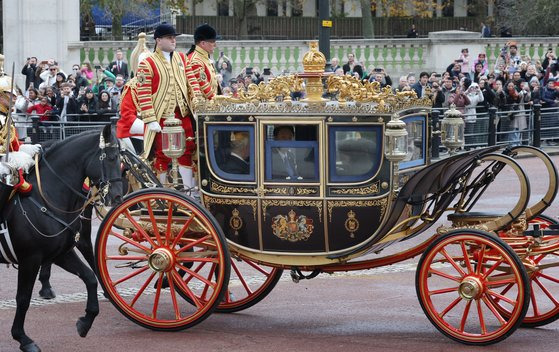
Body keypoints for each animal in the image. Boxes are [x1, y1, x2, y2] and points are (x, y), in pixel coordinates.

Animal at [1, 126, 123, 352]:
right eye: (111, 157)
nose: (118, 197)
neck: (44, 198)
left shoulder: (60, 253)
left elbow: (89, 277)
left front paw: (85, 322)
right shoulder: (30, 259)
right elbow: (23, 298)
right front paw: (23, 338)